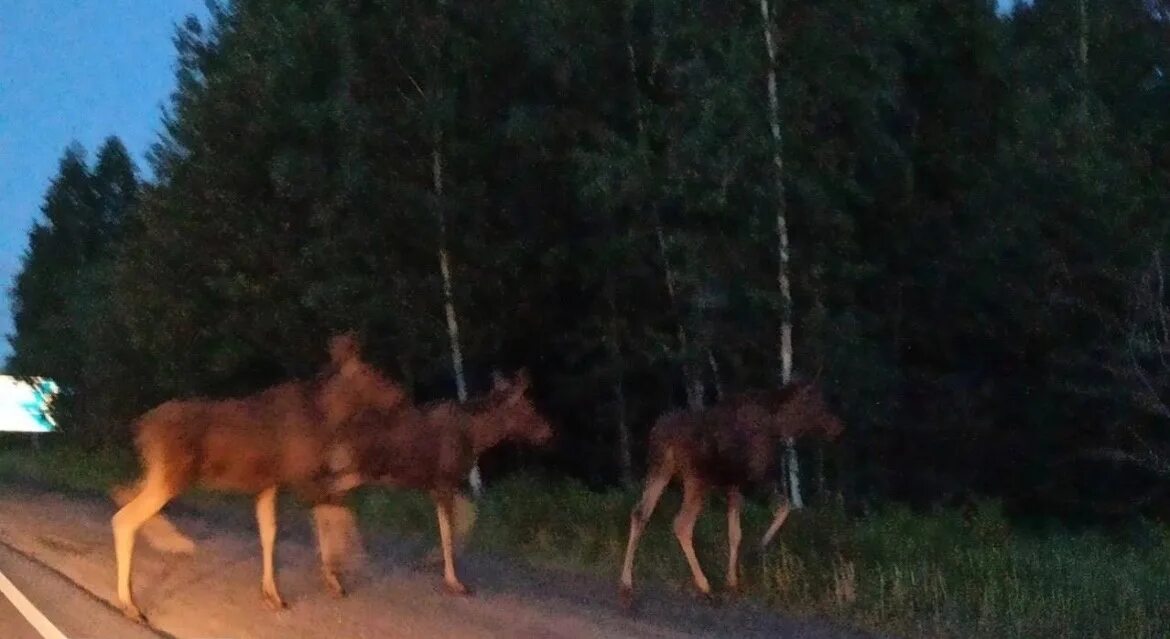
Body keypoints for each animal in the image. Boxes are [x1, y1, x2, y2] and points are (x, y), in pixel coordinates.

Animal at [110, 332, 402, 622]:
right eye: (372, 372)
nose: (398, 396)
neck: (326, 416)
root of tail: (141, 428)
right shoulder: (302, 477)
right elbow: (339, 512)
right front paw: (342, 571)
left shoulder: (269, 484)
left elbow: (270, 533)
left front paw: (273, 595)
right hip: (172, 476)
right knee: (125, 519)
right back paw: (131, 603)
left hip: (158, 474)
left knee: (123, 492)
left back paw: (170, 542)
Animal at [617, 379, 847, 608]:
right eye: (818, 403)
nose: (838, 428)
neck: (779, 425)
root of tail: (662, 436)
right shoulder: (754, 479)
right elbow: (785, 505)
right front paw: (756, 550)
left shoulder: (733, 487)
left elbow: (735, 533)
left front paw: (732, 581)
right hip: (696, 480)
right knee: (681, 523)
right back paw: (704, 585)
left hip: (660, 470)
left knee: (640, 513)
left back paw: (627, 584)